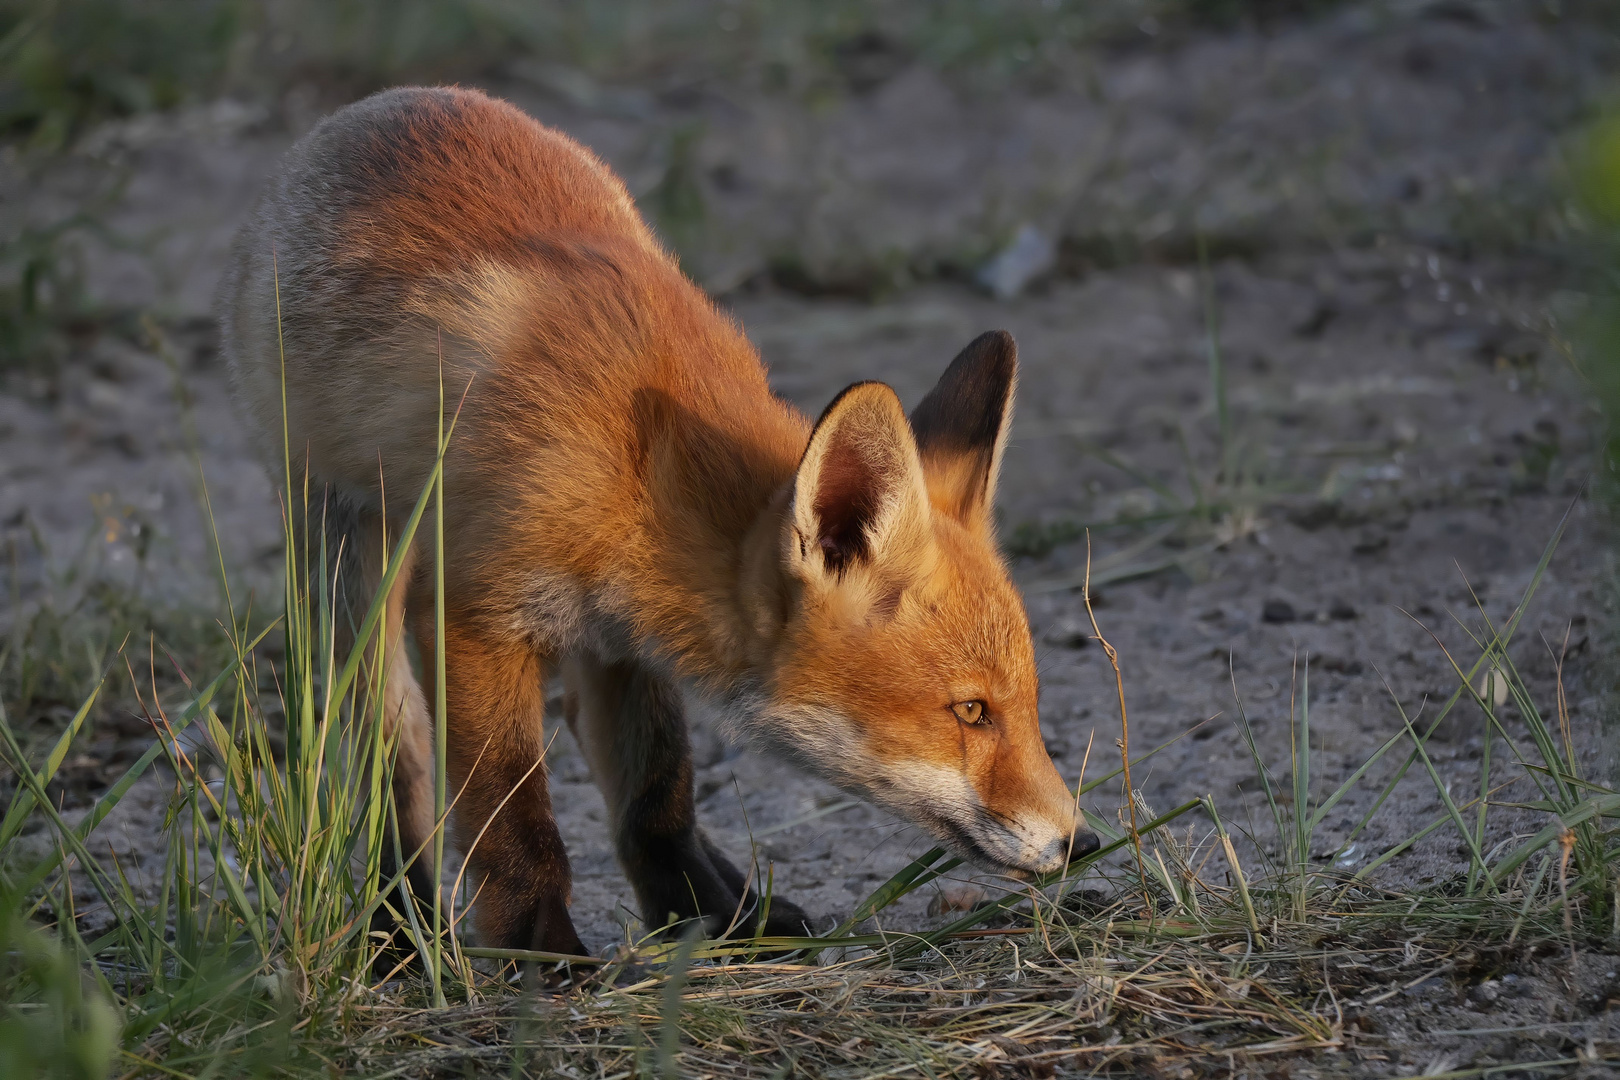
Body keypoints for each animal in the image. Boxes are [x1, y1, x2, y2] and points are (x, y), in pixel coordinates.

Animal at [218, 88, 1101, 958]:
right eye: (972, 712)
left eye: (1027, 701)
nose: (1084, 842)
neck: (640, 470)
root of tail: (377, 106)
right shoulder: (475, 617)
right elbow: (514, 818)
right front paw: (544, 956)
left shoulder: (624, 634)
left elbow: (657, 795)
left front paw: (698, 918)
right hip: (349, 559)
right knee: (385, 751)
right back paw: (397, 925)